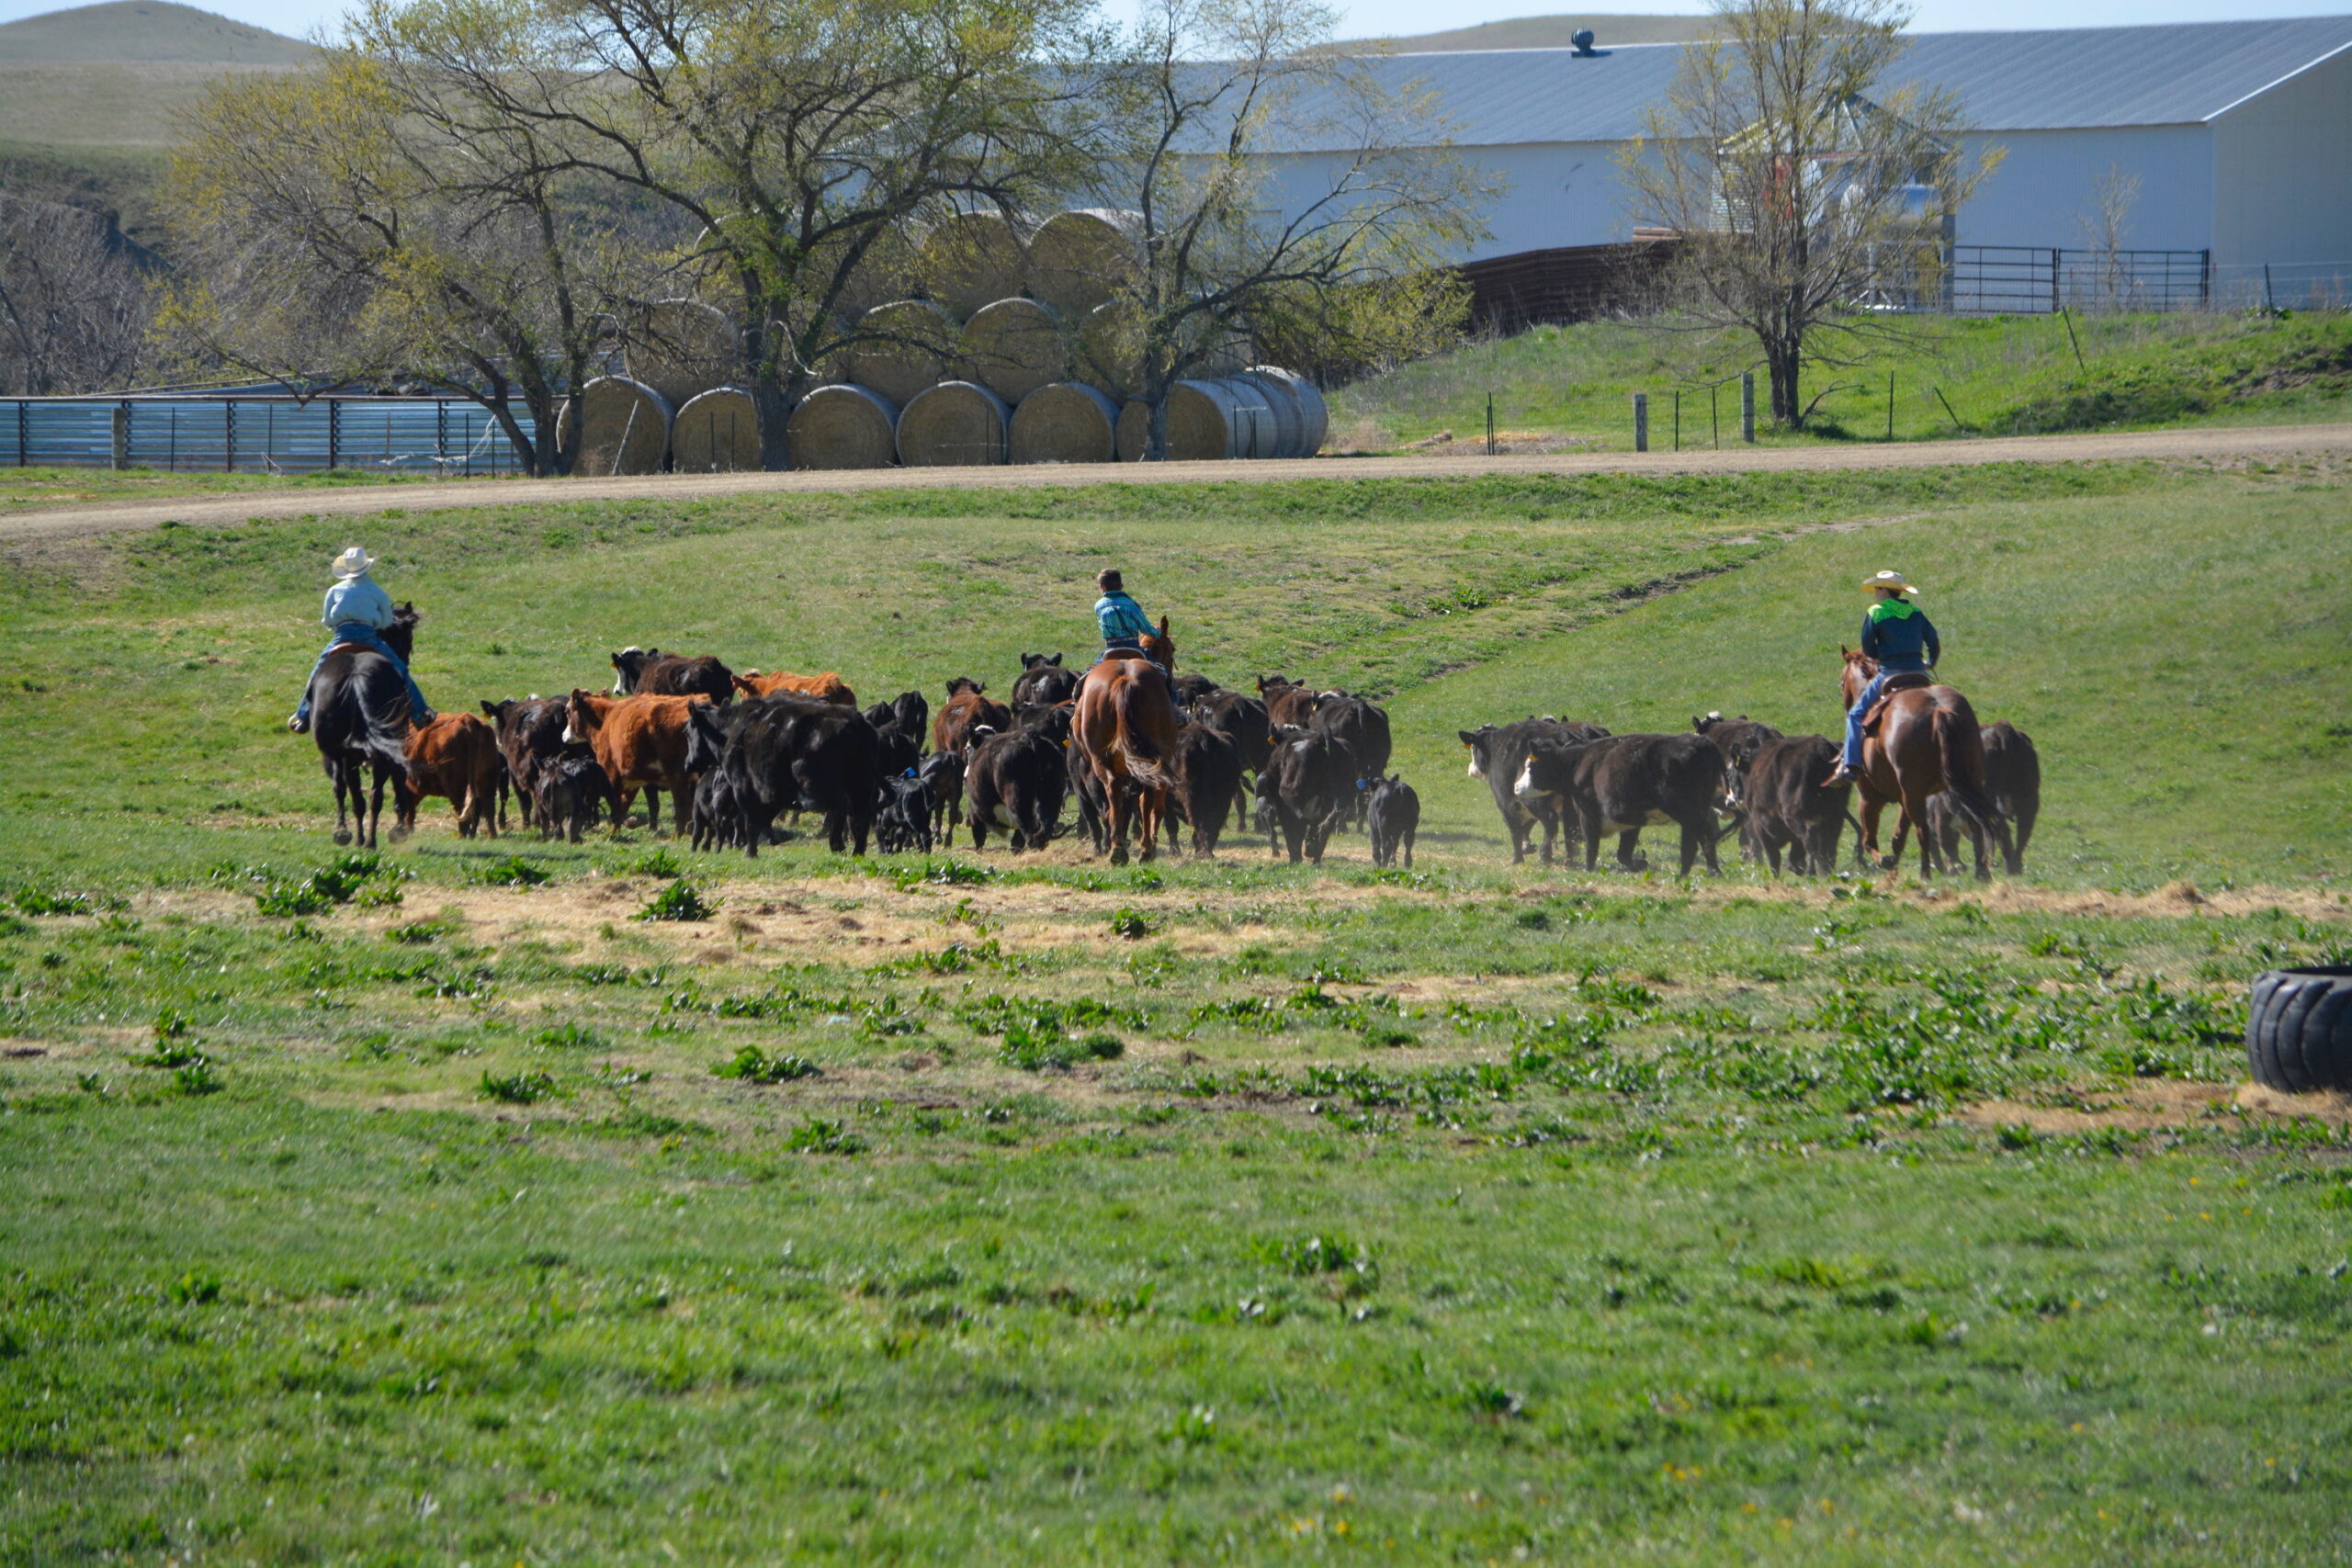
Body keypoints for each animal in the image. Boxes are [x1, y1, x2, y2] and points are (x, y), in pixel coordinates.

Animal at [307, 604, 422, 848]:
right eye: (408, 636)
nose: (406, 659)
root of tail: (355, 676)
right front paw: (398, 829)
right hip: (371, 755)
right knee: (371, 795)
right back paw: (369, 839)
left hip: (340, 754)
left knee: (348, 791)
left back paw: (348, 834)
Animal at [1072, 616, 1179, 865]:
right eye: (1172, 649)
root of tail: (1126, 679)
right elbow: (1153, 807)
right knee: (1146, 798)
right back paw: (1145, 850)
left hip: (1100, 760)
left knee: (1113, 793)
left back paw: (1118, 849)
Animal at [1838, 648, 2013, 879]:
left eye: (1842, 682)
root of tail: (1940, 711)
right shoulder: (1904, 797)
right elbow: (1898, 837)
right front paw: (1892, 871)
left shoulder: (1870, 796)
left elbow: (1870, 840)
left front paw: (1885, 862)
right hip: (1967, 782)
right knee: (1976, 822)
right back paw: (1981, 871)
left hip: (1912, 794)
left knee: (1923, 830)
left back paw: (1925, 873)